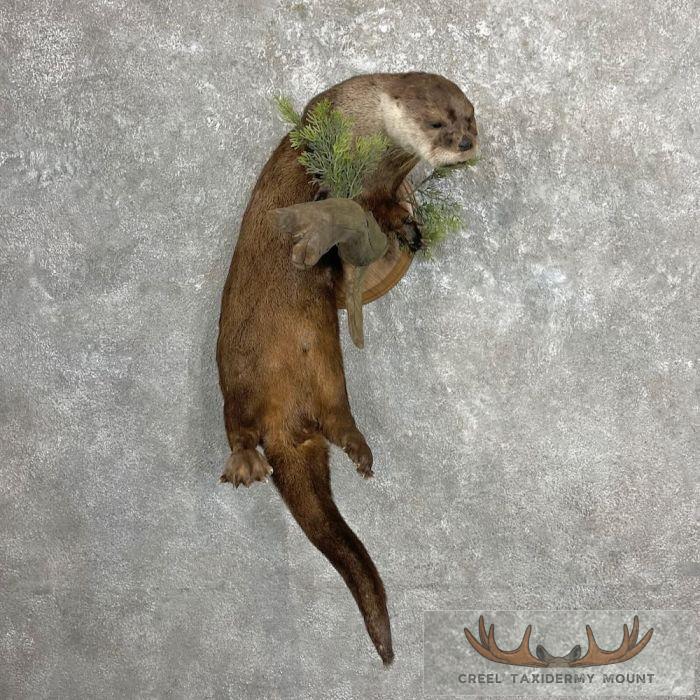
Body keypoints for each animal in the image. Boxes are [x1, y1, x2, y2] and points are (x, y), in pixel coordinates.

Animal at [216, 72, 479, 664]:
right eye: (437, 122)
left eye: (470, 116)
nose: (464, 143)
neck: (368, 136)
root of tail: (284, 425)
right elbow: (362, 203)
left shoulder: (389, 176)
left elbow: (385, 207)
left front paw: (408, 225)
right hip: (236, 374)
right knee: (237, 424)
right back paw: (247, 463)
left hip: (329, 375)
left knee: (335, 419)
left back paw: (356, 450)